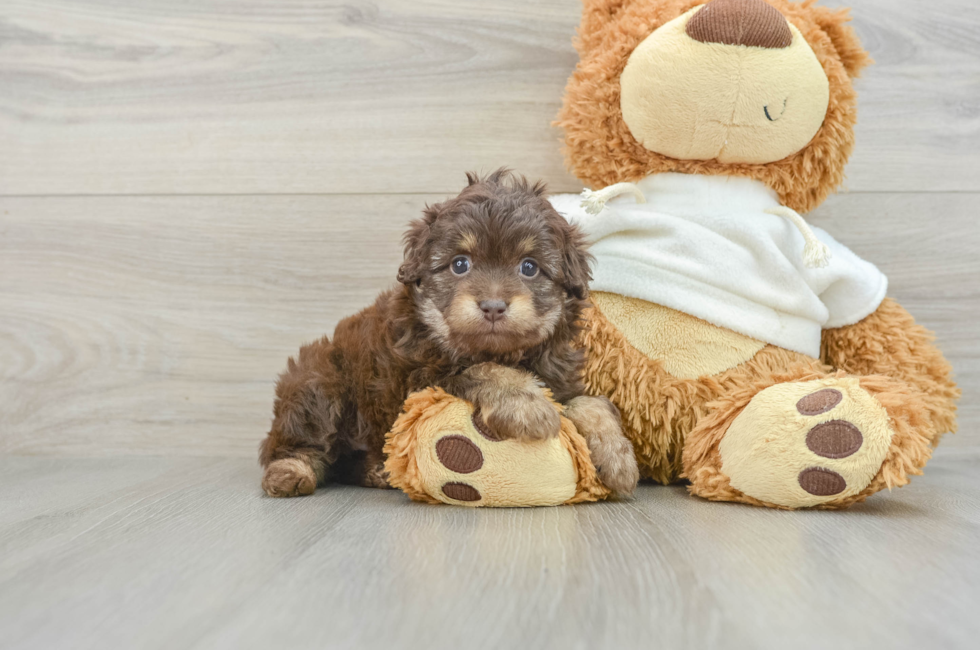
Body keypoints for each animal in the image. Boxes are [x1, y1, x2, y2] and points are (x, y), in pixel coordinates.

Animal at [260, 168, 640, 496]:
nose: (493, 306)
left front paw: (617, 456)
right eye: (460, 264)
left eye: (529, 267)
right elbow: (484, 369)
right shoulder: (421, 378)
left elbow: (592, 402)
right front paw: (528, 405)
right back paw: (290, 472)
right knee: (299, 439)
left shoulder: (561, 377)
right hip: (318, 381)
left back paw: (376, 470)